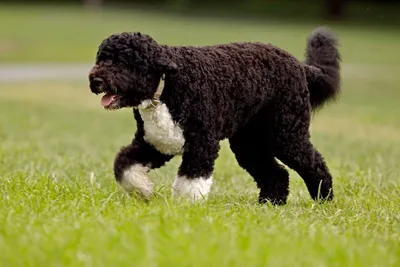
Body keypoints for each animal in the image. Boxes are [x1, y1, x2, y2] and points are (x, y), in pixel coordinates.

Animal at [88, 26, 340, 205]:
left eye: (122, 62)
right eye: (101, 59)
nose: (96, 80)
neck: (167, 86)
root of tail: (300, 66)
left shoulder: (202, 144)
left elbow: (191, 181)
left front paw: (184, 209)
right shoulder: (154, 143)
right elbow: (124, 165)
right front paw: (143, 190)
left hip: (285, 135)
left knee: (314, 163)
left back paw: (324, 199)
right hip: (249, 143)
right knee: (276, 173)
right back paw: (269, 204)